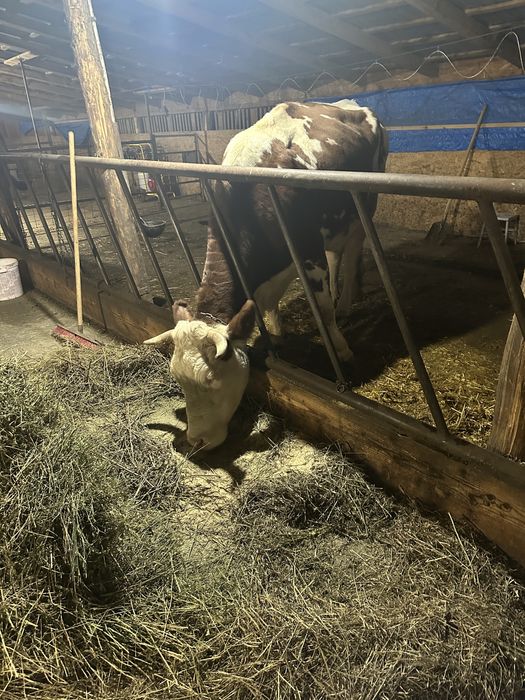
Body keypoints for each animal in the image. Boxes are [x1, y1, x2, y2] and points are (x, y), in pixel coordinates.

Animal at [145, 99, 388, 450]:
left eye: (211, 380)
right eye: (176, 376)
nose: (196, 441)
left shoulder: (307, 248)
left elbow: (323, 310)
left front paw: (342, 350)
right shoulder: (276, 261)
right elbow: (269, 303)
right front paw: (276, 337)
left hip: (364, 206)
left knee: (353, 250)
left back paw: (345, 303)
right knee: (337, 254)